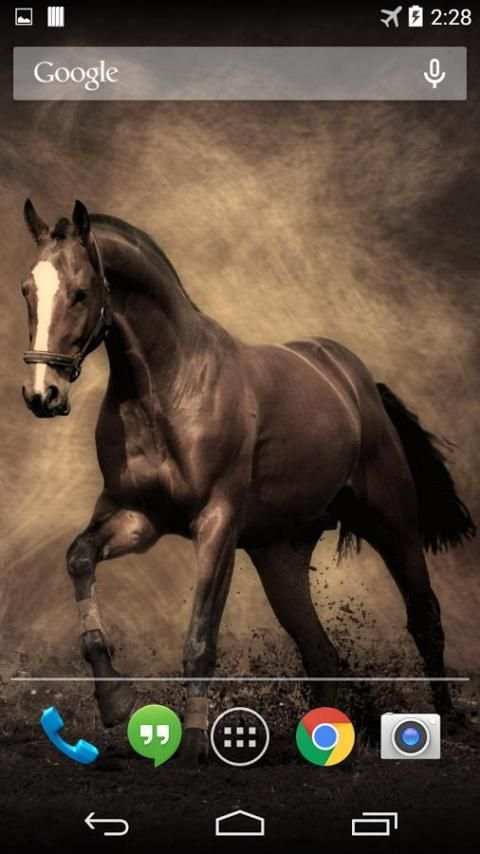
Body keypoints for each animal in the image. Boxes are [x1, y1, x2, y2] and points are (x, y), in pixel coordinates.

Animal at [21, 199, 475, 764]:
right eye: (28, 290)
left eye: (81, 291)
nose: (42, 395)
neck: (168, 387)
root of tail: (356, 381)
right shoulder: (138, 518)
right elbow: (79, 559)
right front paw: (114, 701)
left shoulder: (217, 523)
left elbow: (200, 637)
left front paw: (193, 742)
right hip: (280, 556)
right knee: (319, 651)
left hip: (392, 524)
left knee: (424, 617)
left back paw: (447, 722)